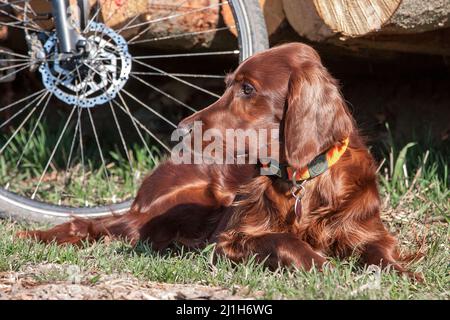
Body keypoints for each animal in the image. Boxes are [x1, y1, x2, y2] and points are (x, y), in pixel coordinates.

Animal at [18, 43, 418, 280]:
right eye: (227, 85)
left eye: (248, 89)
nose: (180, 131)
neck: (304, 181)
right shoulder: (230, 240)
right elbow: (281, 241)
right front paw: (321, 264)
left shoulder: (364, 229)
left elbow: (380, 251)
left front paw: (402, 273)